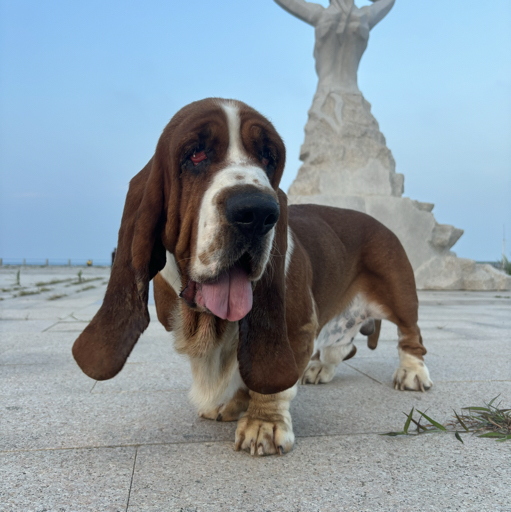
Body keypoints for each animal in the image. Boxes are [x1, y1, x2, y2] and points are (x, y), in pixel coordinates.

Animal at [72, 98, 432, 456]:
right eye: (195, 154)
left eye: (268, 157)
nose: (257, 213)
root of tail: (379, 222)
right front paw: (230, 404)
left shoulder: (296, 327)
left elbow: (271, 378)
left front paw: (264, 423)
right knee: (341, 346)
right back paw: (320, 368)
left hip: (399, 293)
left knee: (410, 336)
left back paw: (411, 374)